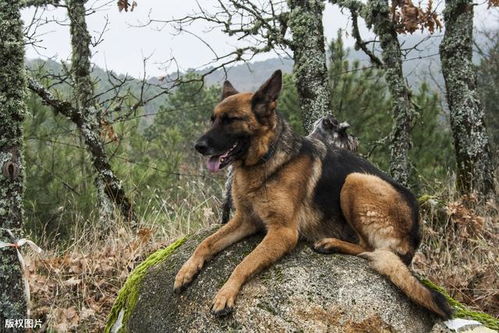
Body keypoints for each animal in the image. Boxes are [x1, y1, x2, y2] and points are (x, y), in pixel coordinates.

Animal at [175, 70, 454, 320]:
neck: (267, 161)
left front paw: (225, 294)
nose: (198, 146)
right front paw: (186, 271)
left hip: (356, 179)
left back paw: (331, 243)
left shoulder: (283, 232)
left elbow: (244, 262)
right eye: (213, 119)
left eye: (231, 119)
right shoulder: (245, 220)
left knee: (369, 248)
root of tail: (414, 238)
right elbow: (206, 243)